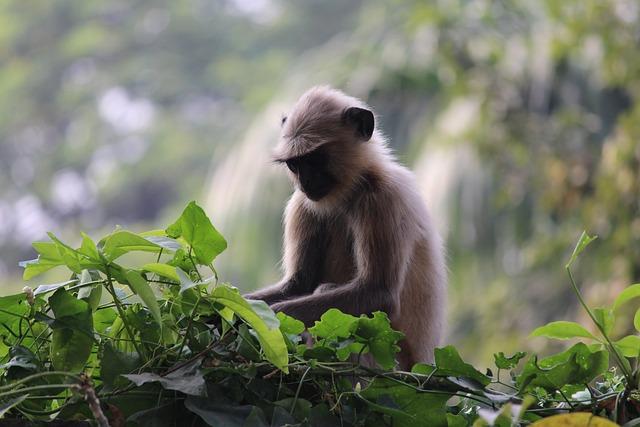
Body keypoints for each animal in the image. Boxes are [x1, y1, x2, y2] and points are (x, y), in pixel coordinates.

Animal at [248, 86, 448, 368]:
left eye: (315, 159)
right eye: (295, 164)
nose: (305, 182)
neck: (351, 192)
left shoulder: (384, 198)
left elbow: (378, 293)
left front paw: (261, 321)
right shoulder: (303, 203)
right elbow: (298, 285)